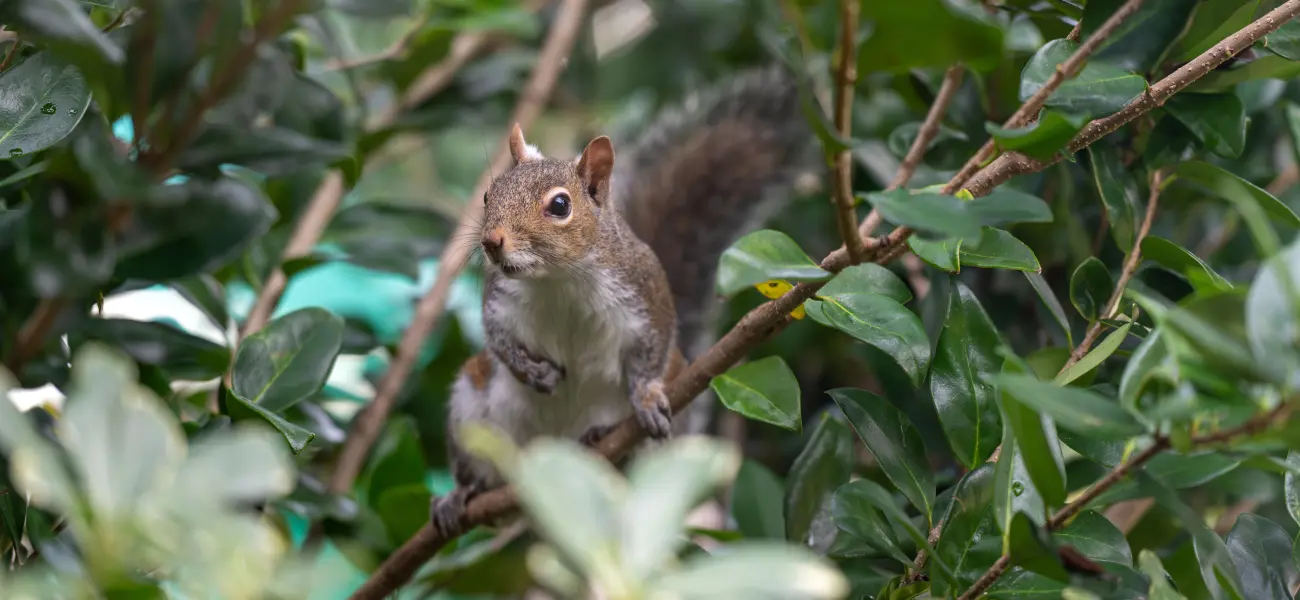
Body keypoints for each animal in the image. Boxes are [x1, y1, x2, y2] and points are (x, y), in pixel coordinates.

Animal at [430, 67, 815, 533]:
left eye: (560, 205)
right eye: (489, 195)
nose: (491, 242)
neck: (559, 280)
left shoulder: (646, 294)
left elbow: (654, 348)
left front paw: (646, 398)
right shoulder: (499, 299)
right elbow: (499, 342)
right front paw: (532, 371)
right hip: (473, 412)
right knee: (483, 479)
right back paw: (460, 497)